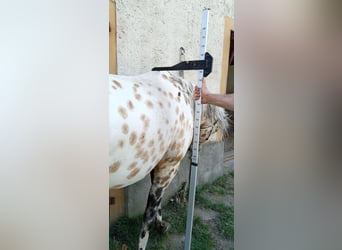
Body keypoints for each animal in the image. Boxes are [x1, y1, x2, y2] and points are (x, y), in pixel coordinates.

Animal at [108, 71, 228, 250]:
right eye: (212, 130)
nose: (196, 151)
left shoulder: (159, 164)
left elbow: (156, 205)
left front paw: (162, 225)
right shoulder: (168, 167)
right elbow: (148, 218)